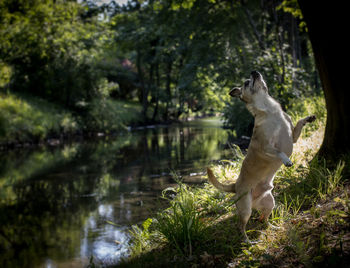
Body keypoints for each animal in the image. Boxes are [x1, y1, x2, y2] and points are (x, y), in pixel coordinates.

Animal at [206, 71, 316, 243]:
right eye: (246, 83)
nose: (254, 72)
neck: (271, 110)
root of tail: (235, 185)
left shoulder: (293, 137)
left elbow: (299, 122)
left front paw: (308, 118)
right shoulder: (266, 147)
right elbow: (279, 152)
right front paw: (286, 160)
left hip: (269, 202)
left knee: (262, 218)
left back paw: (273, 227)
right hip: (245, 209)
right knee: (241, 226)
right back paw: (248, 241)